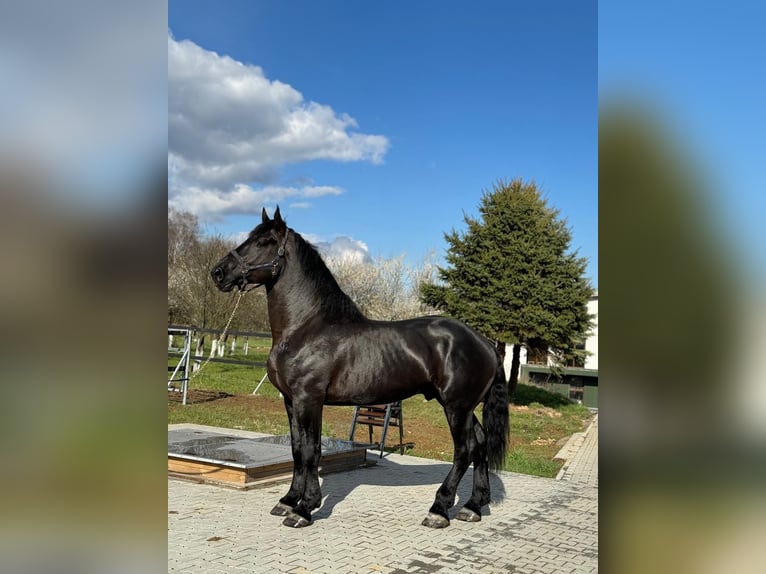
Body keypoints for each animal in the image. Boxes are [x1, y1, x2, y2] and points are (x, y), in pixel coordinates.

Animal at [212, 209, 510, 528]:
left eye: (264, 241)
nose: (218, 272)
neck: (306, 327)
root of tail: (484, 342)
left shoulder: (309, 400)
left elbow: (311, 451)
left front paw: (305, 509)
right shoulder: (291, 401)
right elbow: (296, 450)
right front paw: (288, 500)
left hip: (457, 407)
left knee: (464, 450)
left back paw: (439, 510)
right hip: (462, 407)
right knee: (480, 445)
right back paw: (473, 506)